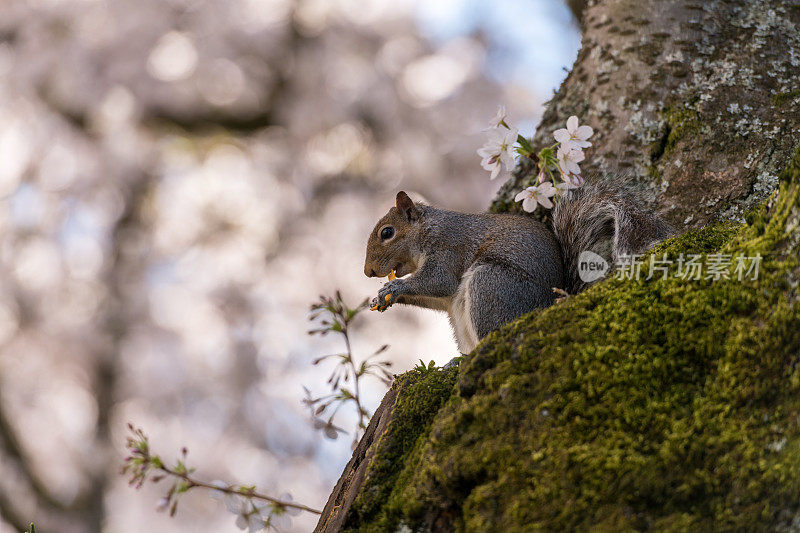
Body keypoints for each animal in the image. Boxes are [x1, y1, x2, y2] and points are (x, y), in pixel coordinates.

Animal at [364, 184, 676, 354]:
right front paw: (383, 297)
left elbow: (438, 281)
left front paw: (394, 287)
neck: (426, 230)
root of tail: (555, 299)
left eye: (387, 233)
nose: (368, 272)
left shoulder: (447, 249)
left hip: (492, 285)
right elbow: (435, 297)